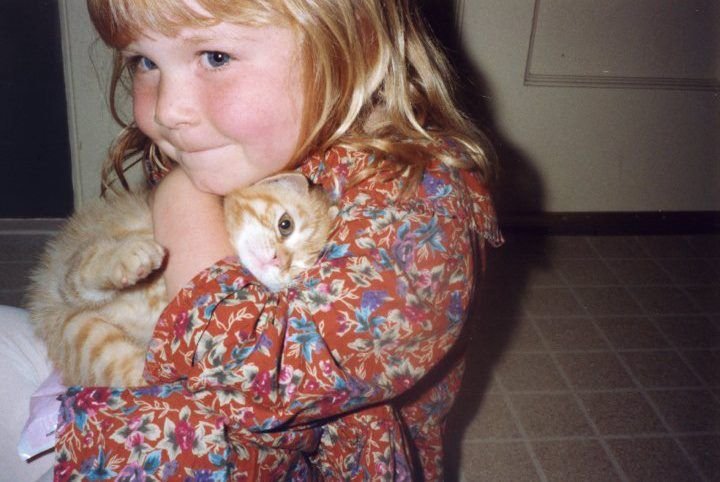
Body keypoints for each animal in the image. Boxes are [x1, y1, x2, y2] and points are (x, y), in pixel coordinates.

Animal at [26, 172, 335, 387]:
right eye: (286, 225)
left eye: (299, 267)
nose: (278, 261)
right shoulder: (70, 271)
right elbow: (82, 272)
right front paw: (128, 258)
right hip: (75, 327)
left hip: (88, 340)